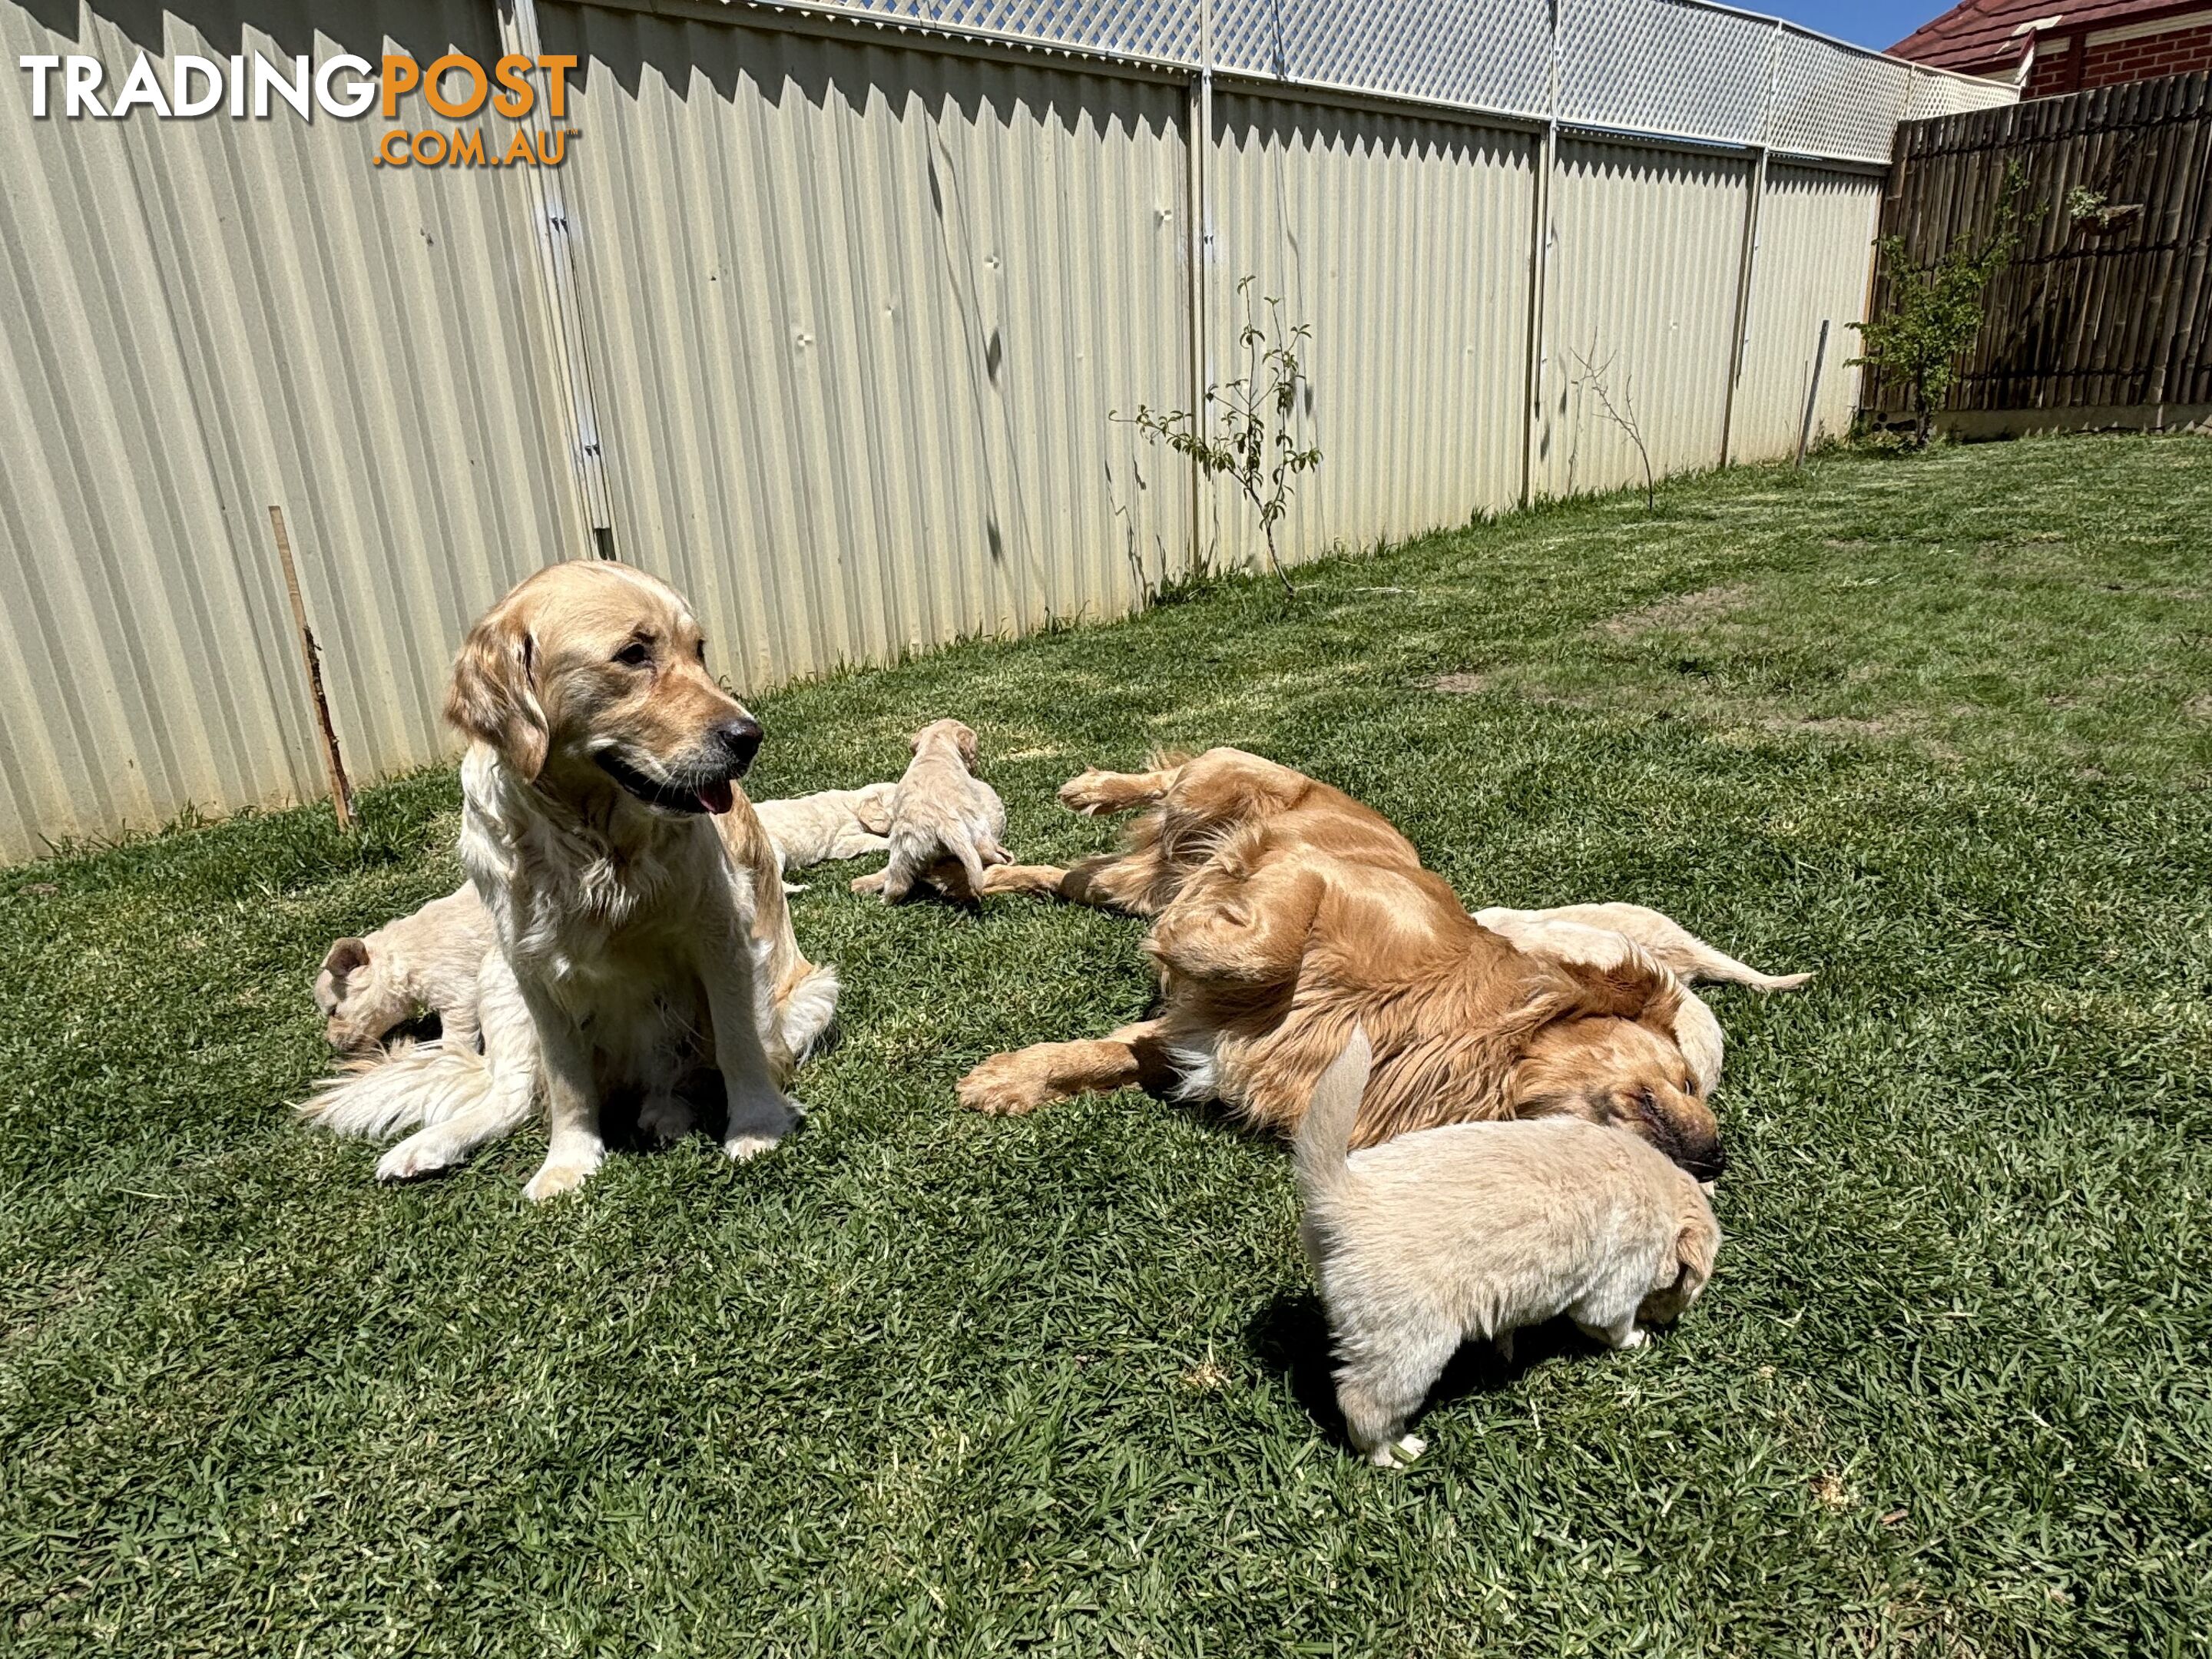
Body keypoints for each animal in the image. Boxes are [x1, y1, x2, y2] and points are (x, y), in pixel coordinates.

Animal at [849, 717, 1013, 902]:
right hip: (977, 829)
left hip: (904, 851)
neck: (935, 750)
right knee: (986, 852)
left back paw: (884, 900)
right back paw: (1004, 857)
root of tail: (944, 823)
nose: (975, 767)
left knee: (898, 884)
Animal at [955, 752, 1725, 1185]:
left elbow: (1113, 1051)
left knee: (1072, 875)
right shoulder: (1309, 874)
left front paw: (1014, 1079)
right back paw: (1095, 790)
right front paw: (1180, 932)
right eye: (1689, 1081)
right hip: (1222, 781)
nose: (1716, 1160)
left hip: (1114, 886)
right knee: (1174, 777)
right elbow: (1256, 944)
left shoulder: (1200, 1042)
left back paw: (991, 880)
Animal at [1291, 1035, 1725, 1477]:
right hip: (1408, 1341)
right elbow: (1612, 1323)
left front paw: (1502, 1351)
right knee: (1365, 1403)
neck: (1661, 1192)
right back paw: (1393, 1453)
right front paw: (1637, 1338)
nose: (1669, 1325)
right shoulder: (1617, 1284)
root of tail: (1343, 1196)